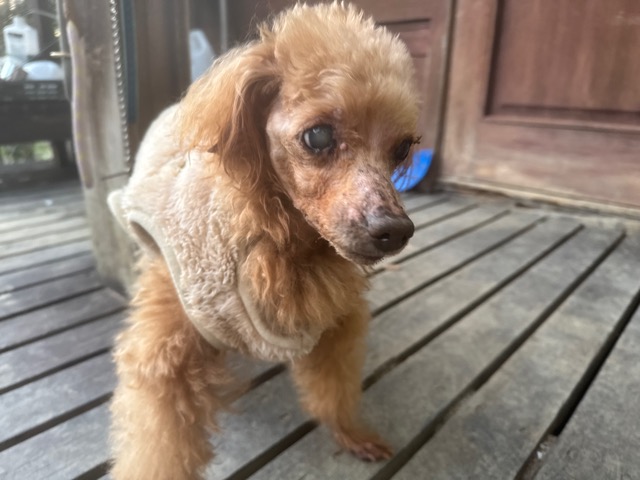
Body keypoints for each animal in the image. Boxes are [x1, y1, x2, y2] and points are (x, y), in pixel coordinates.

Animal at [108, 3, 419, 479]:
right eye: (318, 136)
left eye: (402, 148)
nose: (395, 229)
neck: (278, 242)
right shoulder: (164, 361)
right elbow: (159, 447)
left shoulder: (333, 328)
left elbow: (334, 386)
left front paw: (350, 433)